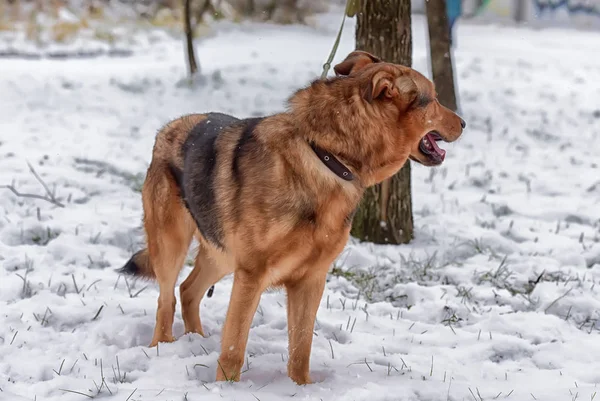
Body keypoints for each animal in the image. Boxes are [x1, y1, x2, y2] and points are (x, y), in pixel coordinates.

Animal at [117, 50, 464, 384]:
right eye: (433, 99)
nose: (463, 123)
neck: (325, 155)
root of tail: (168, 127)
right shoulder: (251, 275)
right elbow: (233, 348)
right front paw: (224, 388)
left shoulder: (310, 279)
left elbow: (301, 347)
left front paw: (300, 388)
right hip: (172, 244)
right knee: (166, 300)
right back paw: (163, 347)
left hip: (222, 253)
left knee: (188, 290)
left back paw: (197, 342)